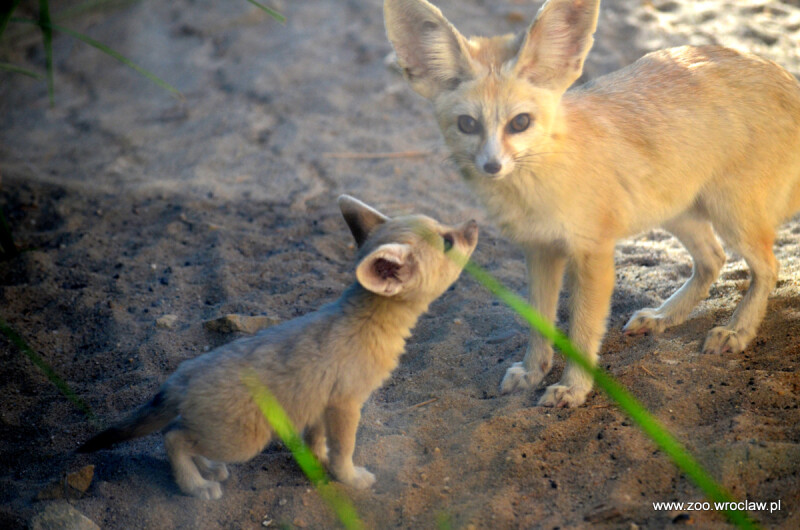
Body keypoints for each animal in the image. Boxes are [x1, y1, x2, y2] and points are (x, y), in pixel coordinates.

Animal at [77, 195, 478, 499]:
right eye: (447, 241)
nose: (474, 222)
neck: (366, 320)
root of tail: (181, 376)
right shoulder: (345, 404)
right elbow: (344, 450)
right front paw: (349, 478)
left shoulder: (319, 403)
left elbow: (316, 441)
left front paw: (317, 464)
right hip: (243, 440)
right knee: (173, 437)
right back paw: (195, 486)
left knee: (179, 431)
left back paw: (207, 470)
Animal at [384, 0, 800, 407]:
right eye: (468, 125)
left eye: (520, 123)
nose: (492, 166)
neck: (540, 184)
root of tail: (783, 75)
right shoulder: (540, 250)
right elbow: (539, 320)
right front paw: (533, 371)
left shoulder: (592, 253)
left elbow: (583, 330)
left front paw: (574, 388)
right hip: (677, 212)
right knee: (713, 260)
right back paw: (663, 316)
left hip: (732, 217)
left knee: (769, 268)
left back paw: (736, 330)